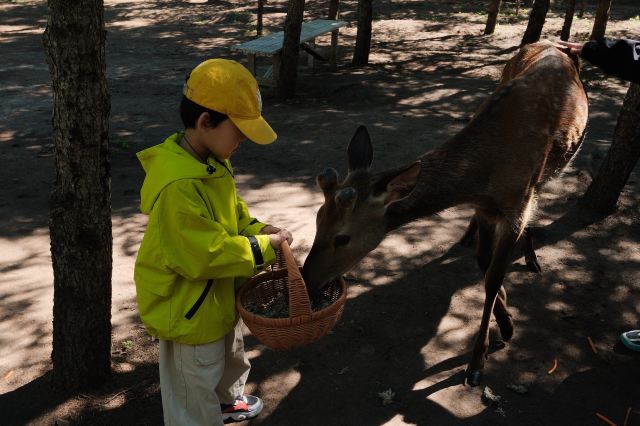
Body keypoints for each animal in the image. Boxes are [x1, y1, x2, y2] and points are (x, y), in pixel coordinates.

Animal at [302, 41, 589, 385]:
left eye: (342, 237)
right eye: (317, 219)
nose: (305, 278)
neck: (483, 177)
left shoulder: (516, 205)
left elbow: (494, 276)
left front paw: (481, 358)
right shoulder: (486, 206)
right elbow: (485, 264)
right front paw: (506, 318)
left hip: (546, 175)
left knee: (538, 200)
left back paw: (532, 259)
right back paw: (469, 237)